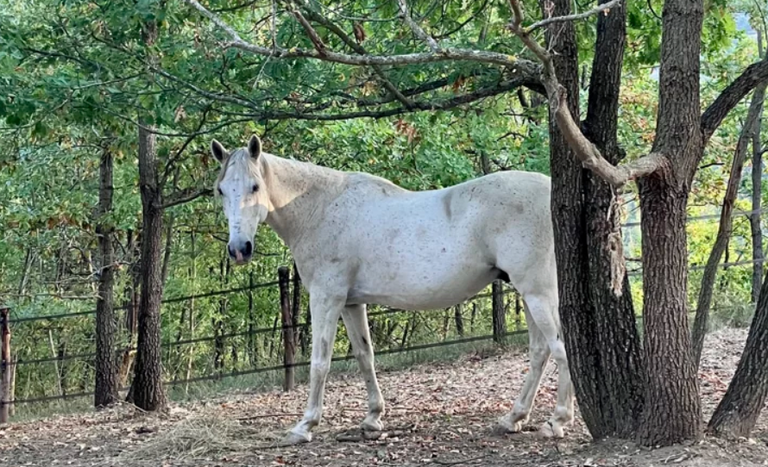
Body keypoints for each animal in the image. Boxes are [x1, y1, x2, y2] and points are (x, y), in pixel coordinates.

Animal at [208, 133, 568, 444]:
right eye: (221, 190)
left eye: (255, 186)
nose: (239, 249)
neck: (320, 209)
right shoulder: (351, 304)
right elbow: (365, 356)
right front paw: (372, 419)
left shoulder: (326, 299)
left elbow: (319, 362)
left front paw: (305, 425)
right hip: (528, 294)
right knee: (539, 351)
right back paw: (513, 418)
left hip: (538, 294)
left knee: (558, 346)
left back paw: (558, 420)